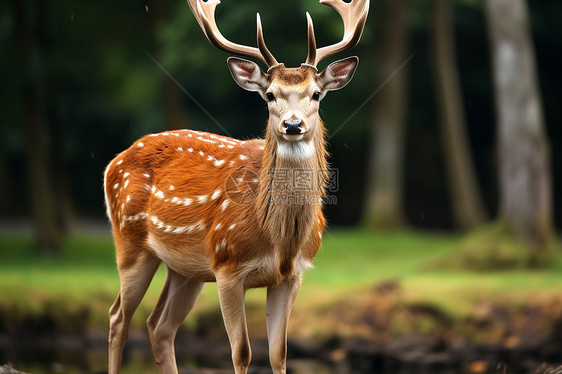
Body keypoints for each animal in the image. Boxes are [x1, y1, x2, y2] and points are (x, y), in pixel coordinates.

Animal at [104, 0, 368, 374]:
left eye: (316, 94)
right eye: (270, 94)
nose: (292, 125)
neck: (280, 240)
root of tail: (115, 160)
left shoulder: (292, 275)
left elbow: (279, 353)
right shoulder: (227, 266)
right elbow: (241, 352)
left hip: (186, 269)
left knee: (159, 324)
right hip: (129, 241)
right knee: (118, 318)